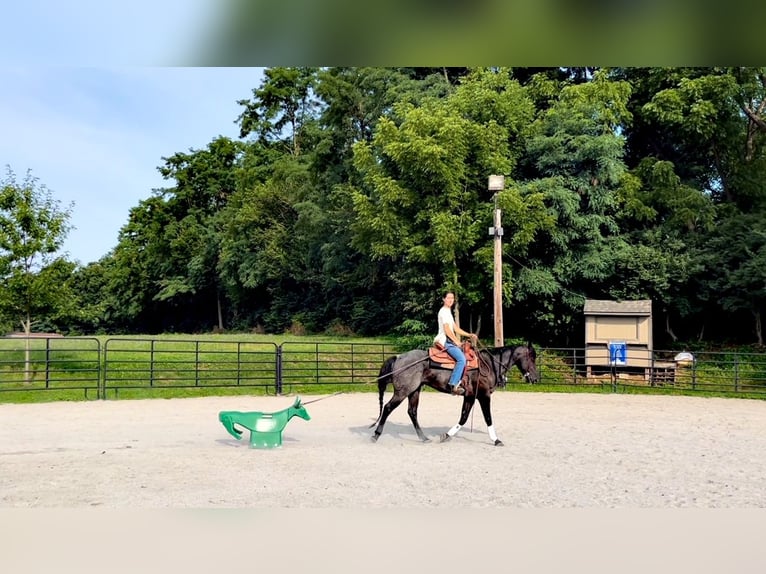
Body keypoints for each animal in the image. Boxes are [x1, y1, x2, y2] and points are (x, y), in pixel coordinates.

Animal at [370, 344, 540, 448]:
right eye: (532, 358)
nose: (536, 378)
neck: (488, 364)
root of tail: (398, 357)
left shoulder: (470, 396)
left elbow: (463, 417)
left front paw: (446, 435)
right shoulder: (484, 396)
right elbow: (488, 418)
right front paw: (496, 440)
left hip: (414, 391)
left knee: (412, 412)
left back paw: (423, 438)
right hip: (403, 391)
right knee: (388, 407)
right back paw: (376, 435)